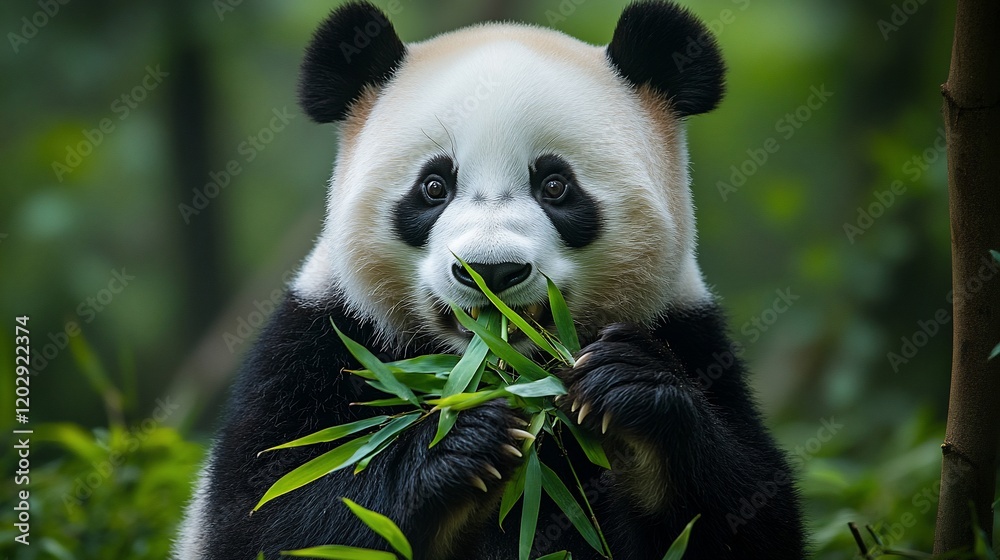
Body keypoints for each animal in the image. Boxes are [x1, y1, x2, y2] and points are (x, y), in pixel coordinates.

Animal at [174, 1, 805, 559]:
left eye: (555, 186)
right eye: (434, 186)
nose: (492, 270)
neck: (499, 370)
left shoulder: (689, 334)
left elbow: (749, 515)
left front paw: (628, 383)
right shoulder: (322, 344)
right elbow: (272, 515)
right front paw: (461, 441)